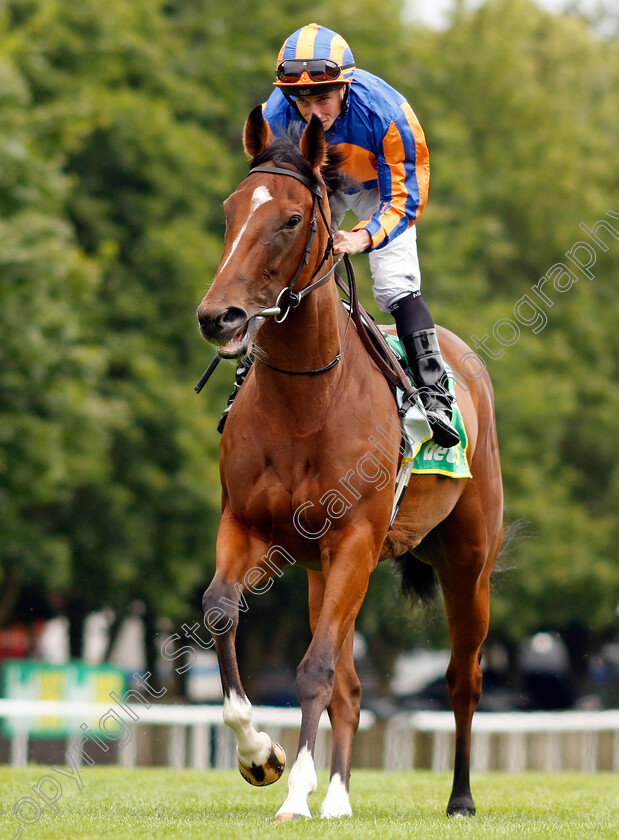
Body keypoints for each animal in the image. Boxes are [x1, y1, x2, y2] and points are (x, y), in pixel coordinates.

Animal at [196, 105, 506, 820]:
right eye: (229, 211)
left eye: (290, 218)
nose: (218, 316)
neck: (306, 402)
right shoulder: (247, 526)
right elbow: (221, 611)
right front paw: (262, 756)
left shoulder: (357, 539)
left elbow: (313, 668)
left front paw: (292, 795)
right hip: (321, 569)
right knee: (351, 684)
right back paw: (335, 796)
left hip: (467, 561)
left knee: (463, 678)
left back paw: (460, 797)